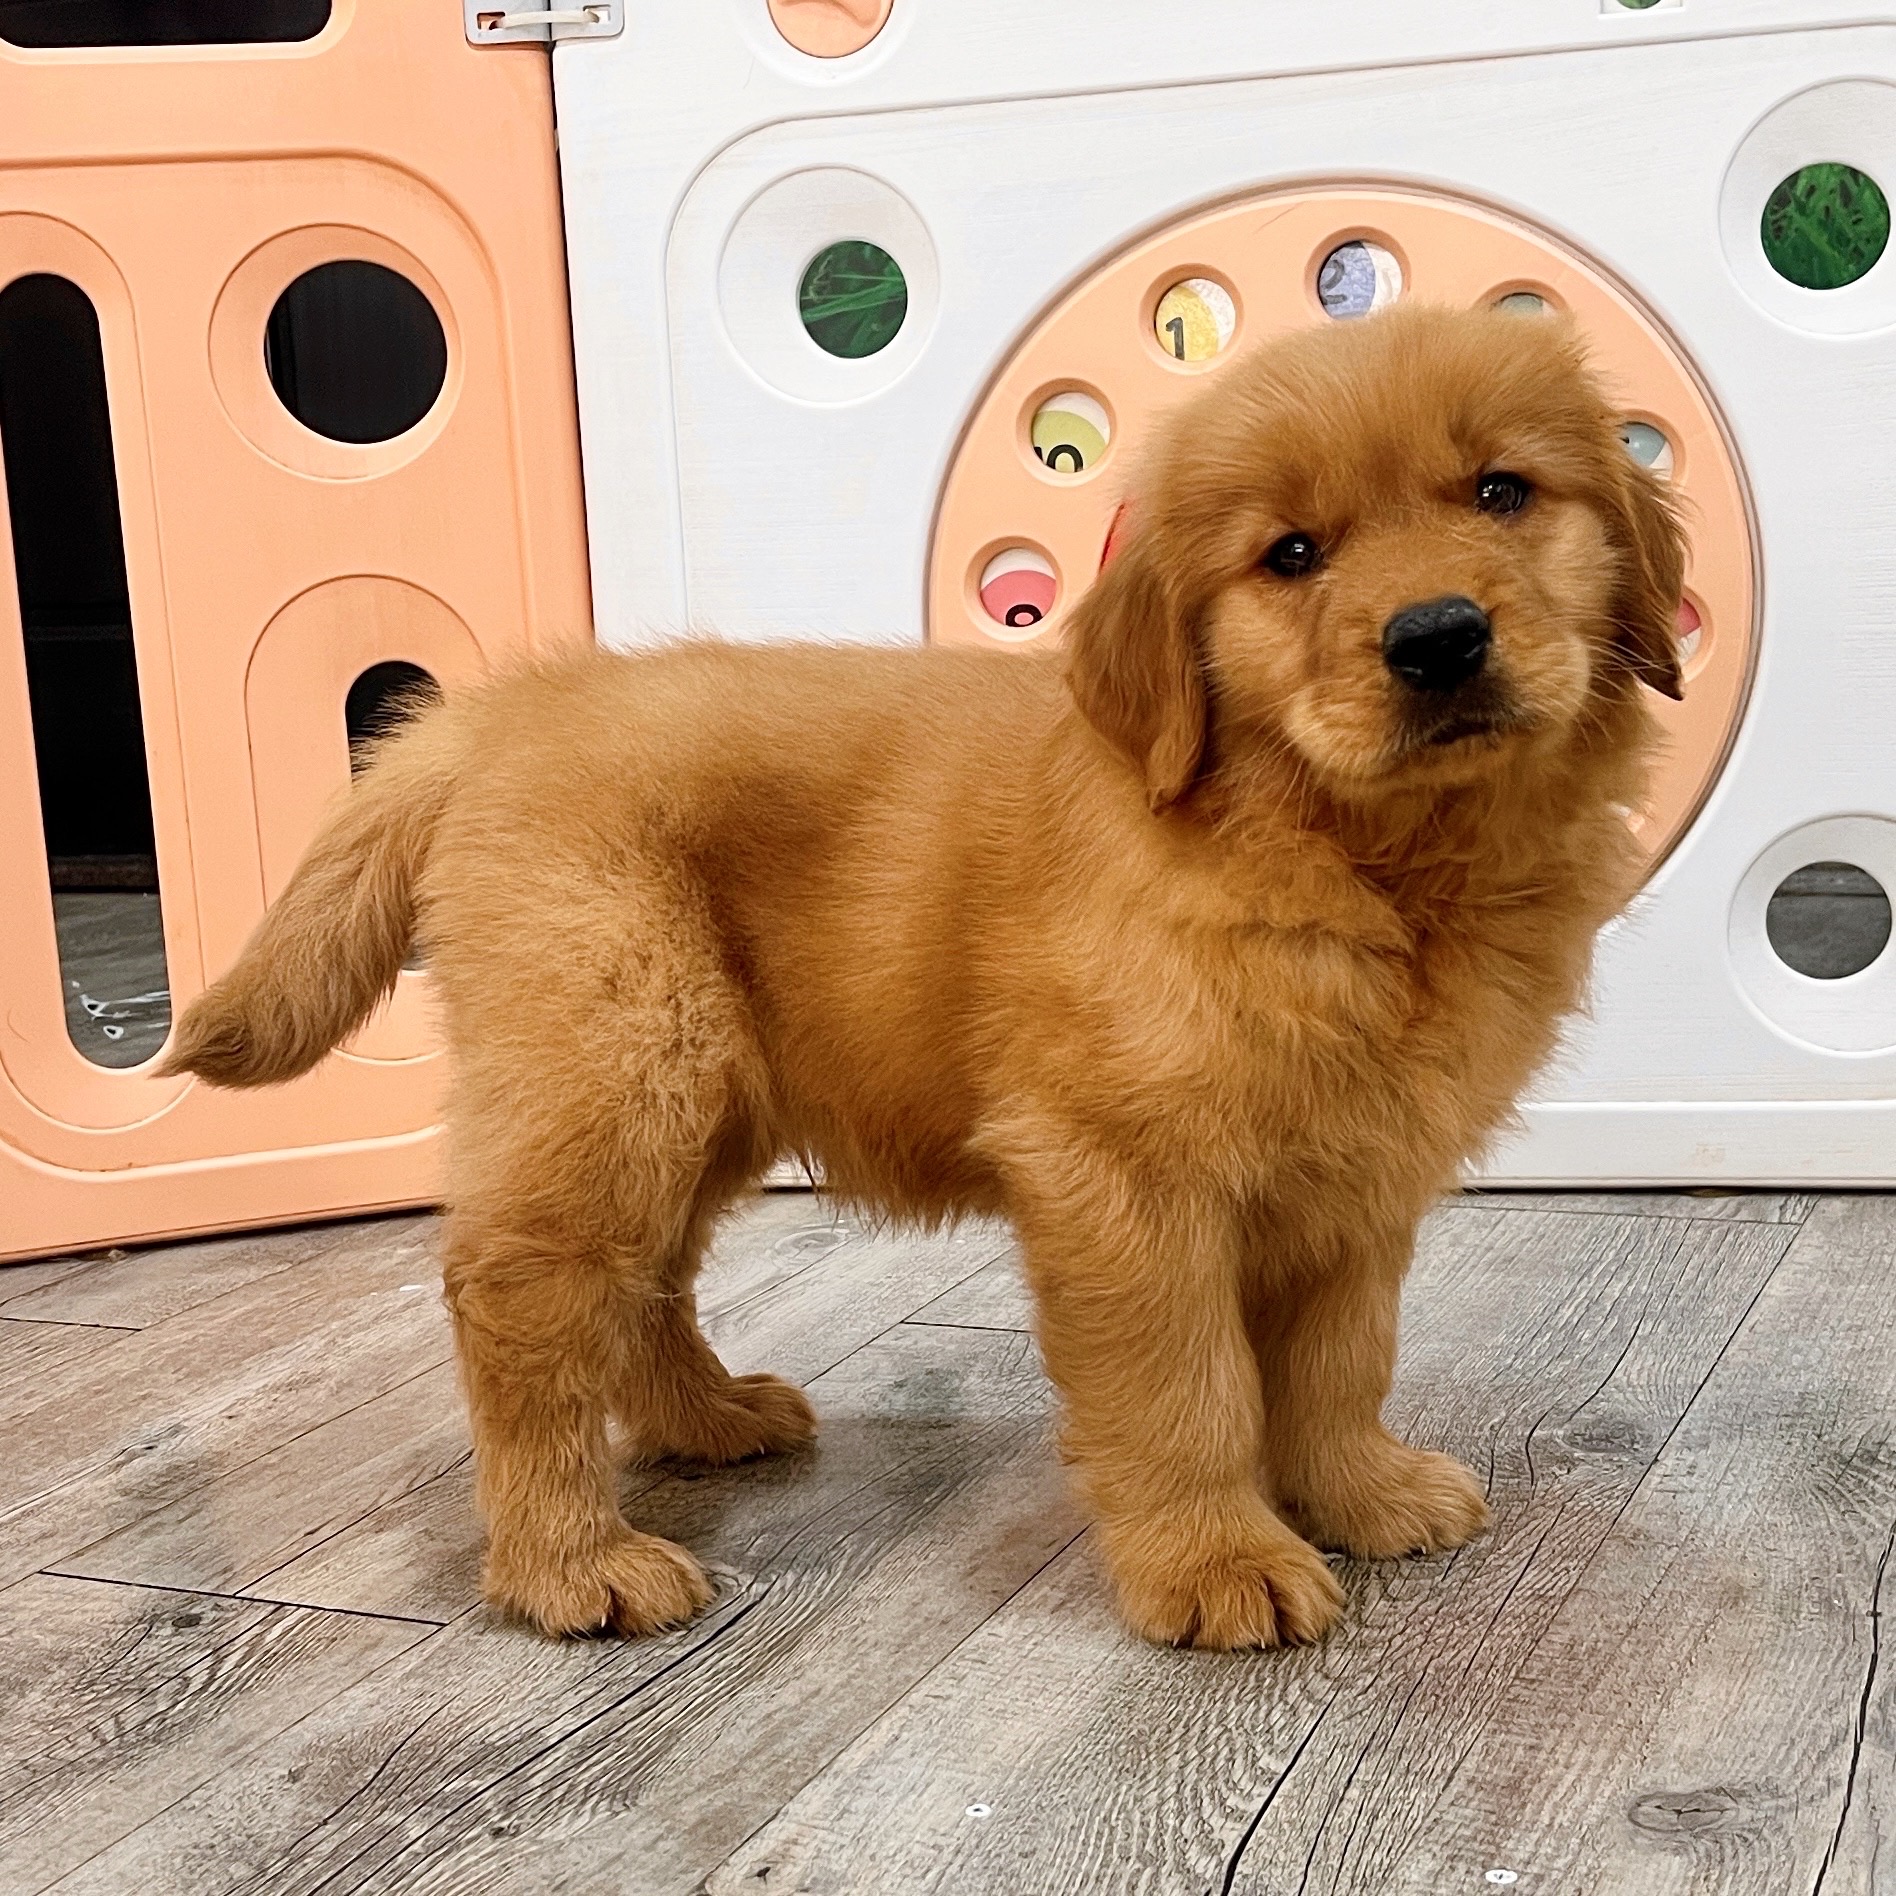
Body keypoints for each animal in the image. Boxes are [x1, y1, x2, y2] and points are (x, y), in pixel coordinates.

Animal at [162, 303, 1684, 1650]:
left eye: (1502, 491)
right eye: (1292, 555)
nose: (1438, 636)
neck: (1356, 857)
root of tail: (491, 717)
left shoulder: (1355, 1179)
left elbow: (1336, 1365)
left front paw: (1360, 1492)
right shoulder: (1120, 1173)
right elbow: (1184, 1389)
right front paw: (1217, 1560)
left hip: (701, 1098)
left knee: (642, 1283)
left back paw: (708, 1421)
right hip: (617, 1070)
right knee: (524, 1292)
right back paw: (568, 1561)